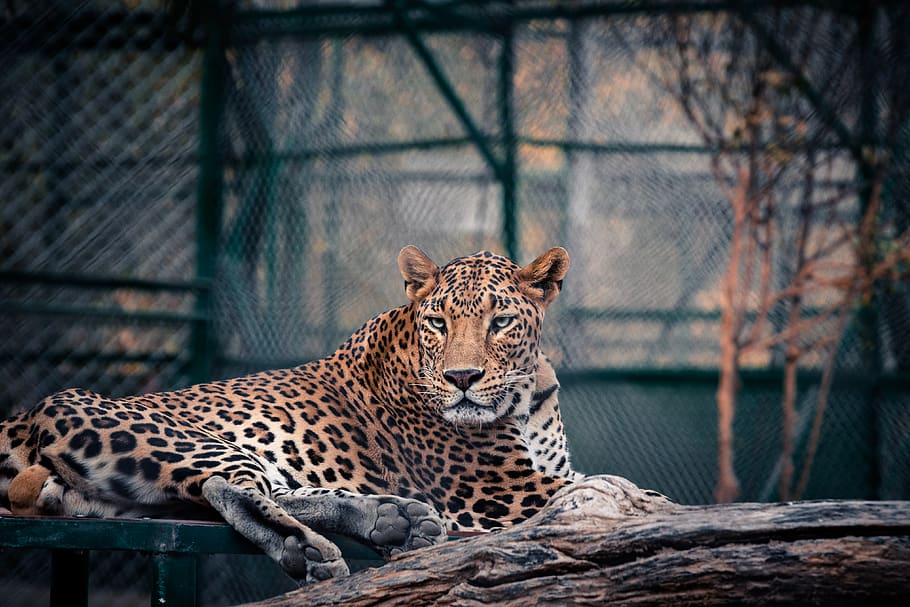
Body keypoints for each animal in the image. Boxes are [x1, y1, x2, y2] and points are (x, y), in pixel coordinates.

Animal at [0, 245, 582, 584]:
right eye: (438, 323)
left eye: (500, 322)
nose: (461, 378)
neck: (526, 396)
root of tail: (26, 415)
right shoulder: (500, 489)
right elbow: (603, 486)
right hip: (187, 439)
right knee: (226, 489)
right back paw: (310, 547)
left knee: (239, 493)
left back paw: (393, 518)